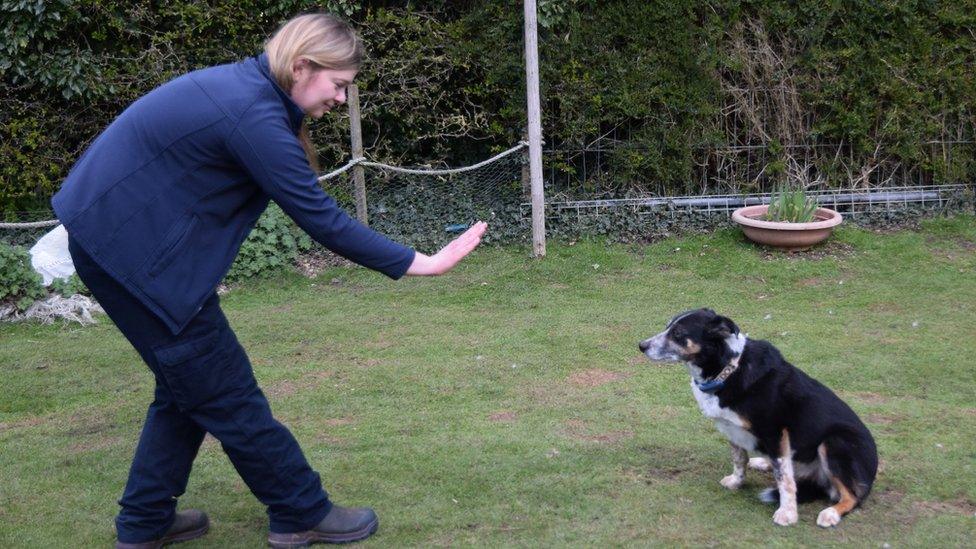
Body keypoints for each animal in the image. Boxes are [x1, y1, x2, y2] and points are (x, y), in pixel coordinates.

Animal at [636, 308, 880, 528]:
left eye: (678, 333)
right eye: (667, 326)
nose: (641, 345)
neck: (728, 370)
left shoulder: (775, 432)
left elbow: (784, 479)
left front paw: (787, 514)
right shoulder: (732, 429)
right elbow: (739, 459)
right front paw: (736, 482)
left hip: (835, 442)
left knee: (852, 496)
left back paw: (831, 513)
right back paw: (762, 462)